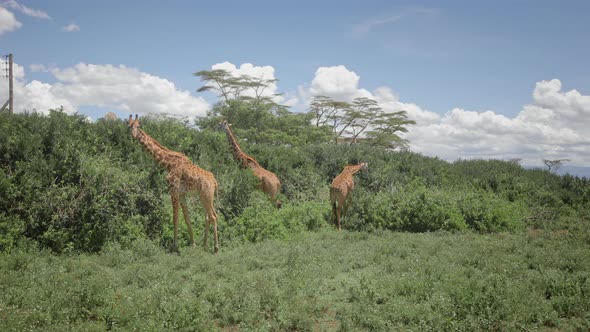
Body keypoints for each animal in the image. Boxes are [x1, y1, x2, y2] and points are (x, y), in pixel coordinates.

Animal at [128, 115, 221, 253]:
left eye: (139, 126)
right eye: (129, 126)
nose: (133, 135)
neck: (169, 164)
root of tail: (214, 181)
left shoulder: (173, 191)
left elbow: (175, 218)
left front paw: (175, 247)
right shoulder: (181, 194)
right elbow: (187, 219)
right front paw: (193, 244)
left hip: (206, 195)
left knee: (213, 216)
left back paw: (215, 248)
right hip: (204, 196)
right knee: (209, 217)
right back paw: (204, 245)